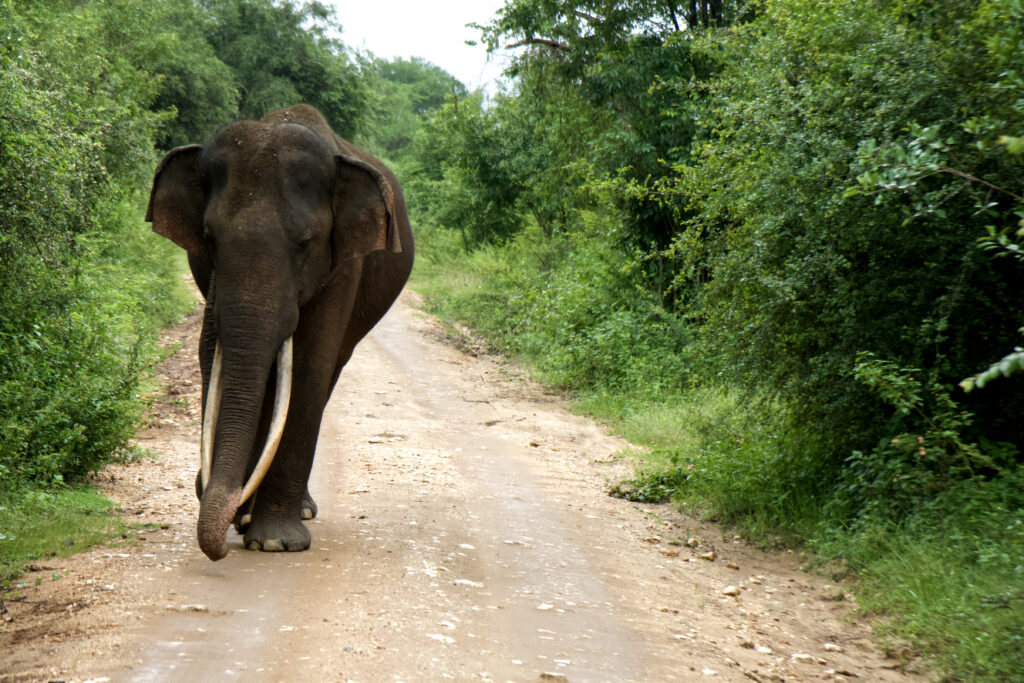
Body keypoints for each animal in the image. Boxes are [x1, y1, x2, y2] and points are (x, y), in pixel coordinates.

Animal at [145, 102, 415, 561]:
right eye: (208, 238)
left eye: (305, 242)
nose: (204, 487)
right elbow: (212, 356)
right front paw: (241, 518)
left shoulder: (343, 265)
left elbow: (308, 365)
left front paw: (275, 543)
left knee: (324, 375)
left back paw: (292, 512)